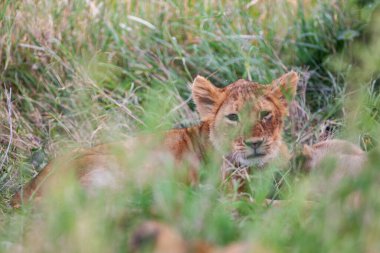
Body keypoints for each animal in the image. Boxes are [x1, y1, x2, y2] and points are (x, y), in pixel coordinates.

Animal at [10, 71, 298, 208]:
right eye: (233, 117)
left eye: (265, 114)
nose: (254, 143)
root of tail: (24, 192)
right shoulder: (228, 192)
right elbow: (271, 203)